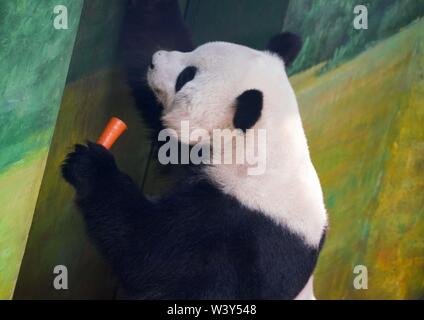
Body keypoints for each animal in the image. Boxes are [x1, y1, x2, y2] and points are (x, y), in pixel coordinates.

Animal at [62, 1, 328, 300]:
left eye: (185, 77)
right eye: (193, 52)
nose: (155, 60)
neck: (262, 146)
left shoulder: (239, 228)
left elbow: (151, 254)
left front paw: (90, 164)